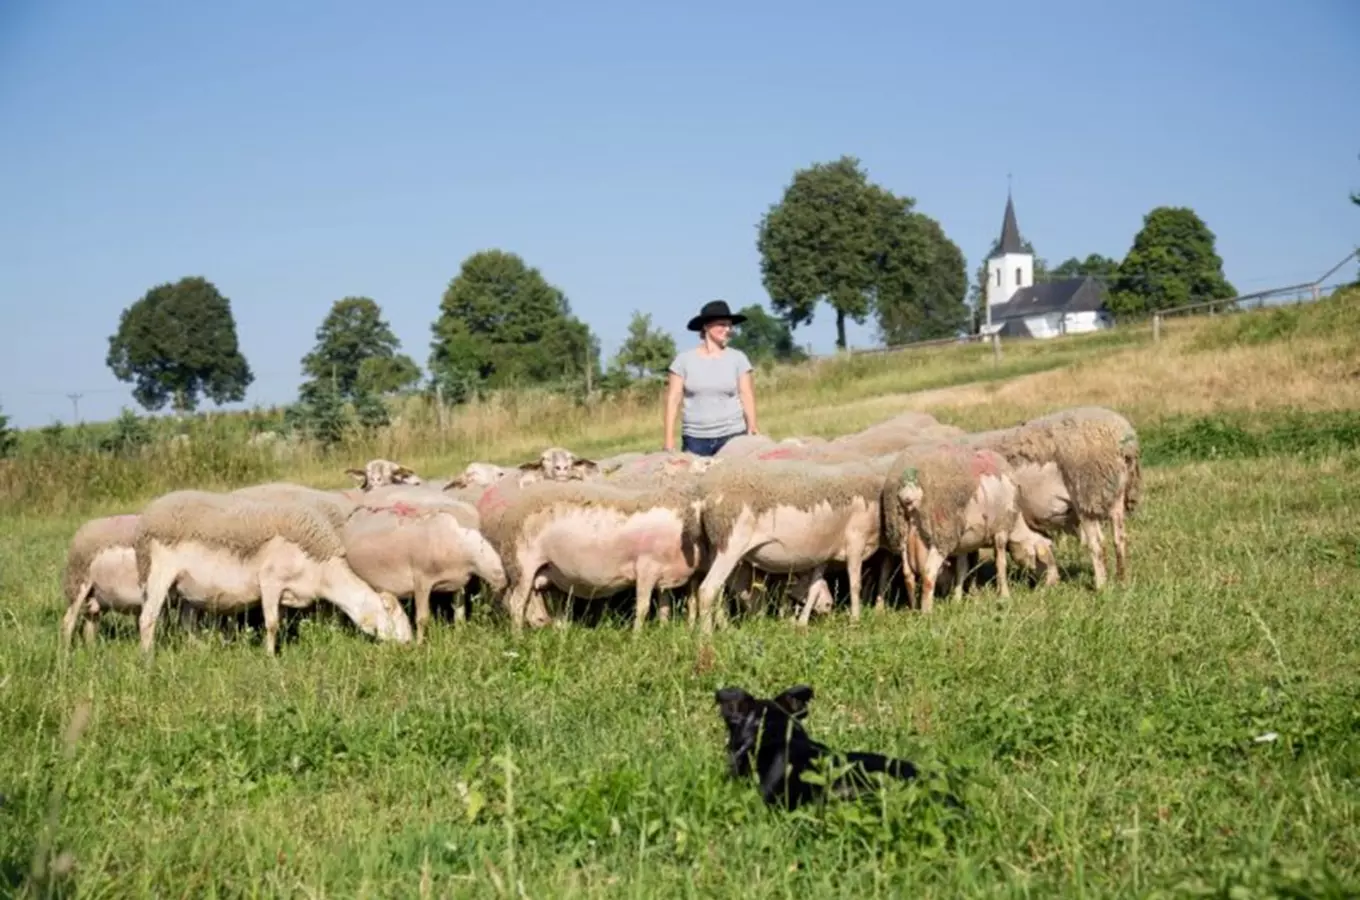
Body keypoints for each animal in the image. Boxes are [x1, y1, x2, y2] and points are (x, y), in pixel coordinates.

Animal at [138, 494, 416, 655]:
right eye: (395, 617)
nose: (409, 644)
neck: (322, 570)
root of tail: (148, 518)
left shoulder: (286, 593)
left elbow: (279, 623)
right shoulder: (270, 582)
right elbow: (271, 624)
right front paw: (270, 657)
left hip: (188, 587)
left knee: (186, 623)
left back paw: (202, 649)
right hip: (160, 574)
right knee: (148, 618)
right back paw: (147, 658)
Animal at [340, 500, 511, 641]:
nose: (504, 581)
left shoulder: (459, 584)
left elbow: (459, 614)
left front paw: (459, 636)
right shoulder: (422, 581)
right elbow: (422, 618)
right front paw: (420, 644)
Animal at [881, 443, 1060, 614]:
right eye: (1041, 559)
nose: (1054, 583)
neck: (1016, 526)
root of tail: (909, 489)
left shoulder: (963, 544)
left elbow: (962, 570)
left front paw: (957, 600)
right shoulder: (1000, 532)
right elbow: (1001, 564)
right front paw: (1004, 596)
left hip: (899, 532)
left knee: (907, 574)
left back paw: (912, 608)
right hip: (942, 533)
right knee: (929, 572)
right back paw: (927, 612)